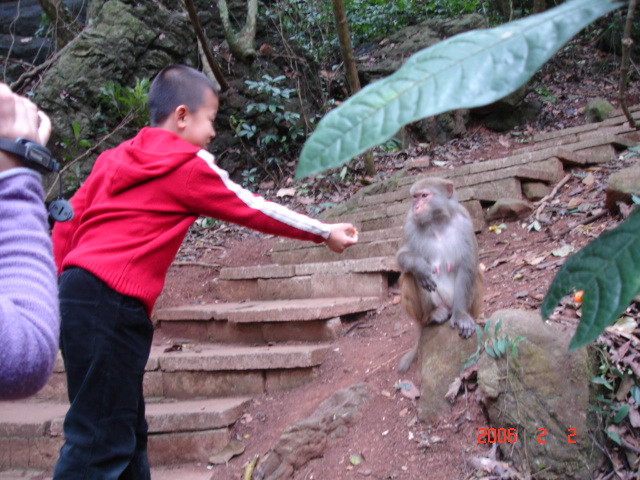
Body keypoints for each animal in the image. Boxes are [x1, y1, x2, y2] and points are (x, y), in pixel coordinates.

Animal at [392, 176, 482, 372]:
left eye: (424, 196)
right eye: (415, 197)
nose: (416, 206)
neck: (437, 221)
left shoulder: (465, 221)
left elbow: (467, 266)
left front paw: (461, 315)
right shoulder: (410, 224)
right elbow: (402, 257)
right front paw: (420, 267)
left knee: (477, 271)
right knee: (410, 276)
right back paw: (432, 316)